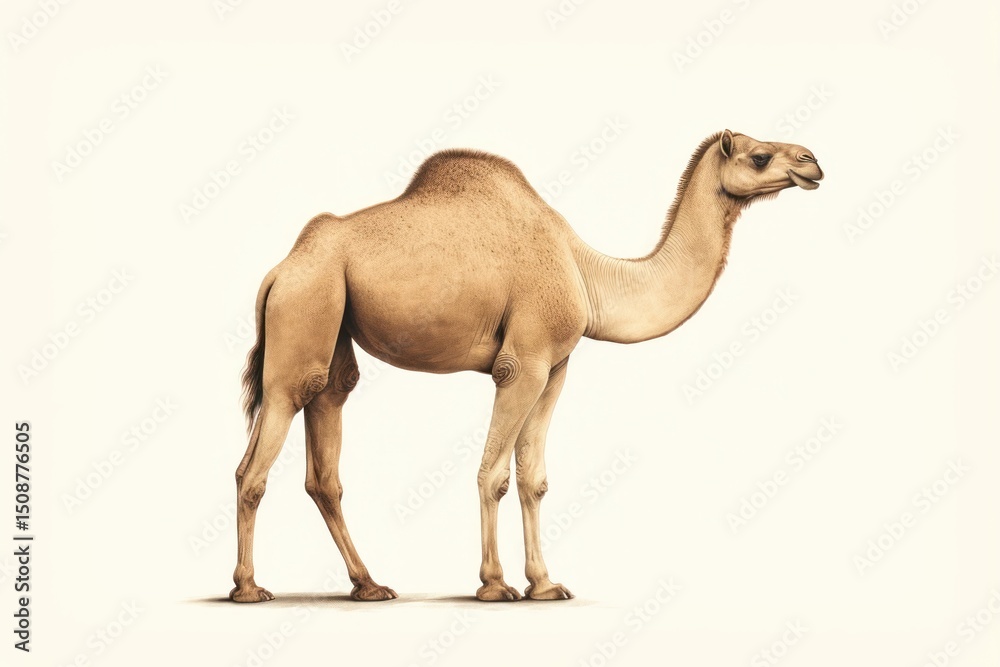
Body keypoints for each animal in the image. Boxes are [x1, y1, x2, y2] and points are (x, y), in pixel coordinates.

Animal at [229, 129, 823, 603]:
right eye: (760, 156)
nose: (813, 161)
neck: (587, 272)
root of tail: (279, 271)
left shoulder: (556, 368)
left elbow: (533, 478)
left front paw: (545, 584)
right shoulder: (524, 363)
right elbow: (492, 474)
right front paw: (495, 585)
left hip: (331, 322)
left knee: (327, 439)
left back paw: (369, 586)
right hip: (306, 309)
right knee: (257, 460)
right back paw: (249, 588)